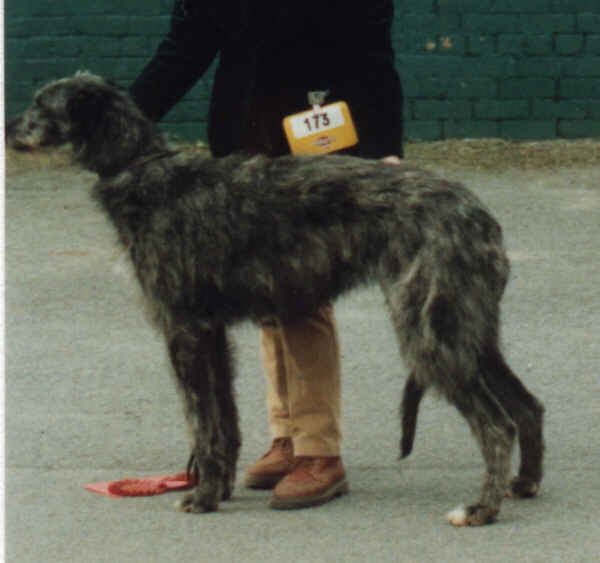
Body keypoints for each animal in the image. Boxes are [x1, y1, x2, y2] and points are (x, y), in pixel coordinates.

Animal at [9, 72, 544, 528]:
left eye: (40, 104)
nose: (7, 128)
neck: (143, 171)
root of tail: (480, 214)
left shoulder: (183, 329)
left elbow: (200, 422)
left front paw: (200, 496)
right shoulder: (213, 333)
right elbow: (224, 420)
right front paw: (218, 488)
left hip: (430, 333)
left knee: (497, 425)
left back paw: (480, 509)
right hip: (469, 327)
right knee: (528, 405)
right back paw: (524, 483)